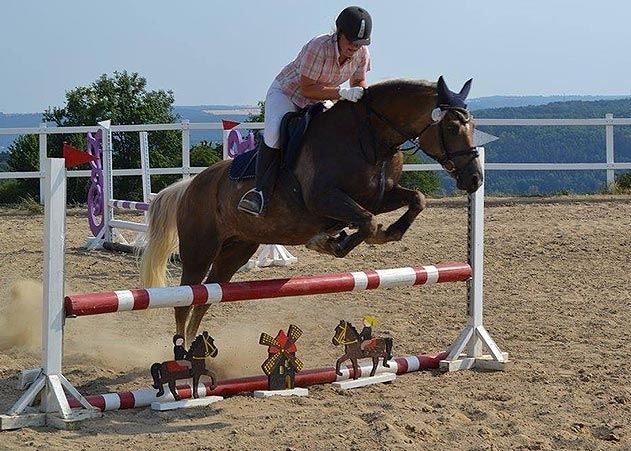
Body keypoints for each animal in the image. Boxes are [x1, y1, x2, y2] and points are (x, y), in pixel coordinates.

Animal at [141, 76, 482, 344]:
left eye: (474, 126)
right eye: (452, 127)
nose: (475, 179)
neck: (371, 139)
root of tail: (191, 185)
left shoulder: (378, 197)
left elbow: (415, 200)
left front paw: (388, 233)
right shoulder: (324, 199)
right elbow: (368, 221)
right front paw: (331, 242)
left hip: (237, 249)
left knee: (206, 297)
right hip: (200, 248)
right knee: (186, 299)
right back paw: (183, 354)